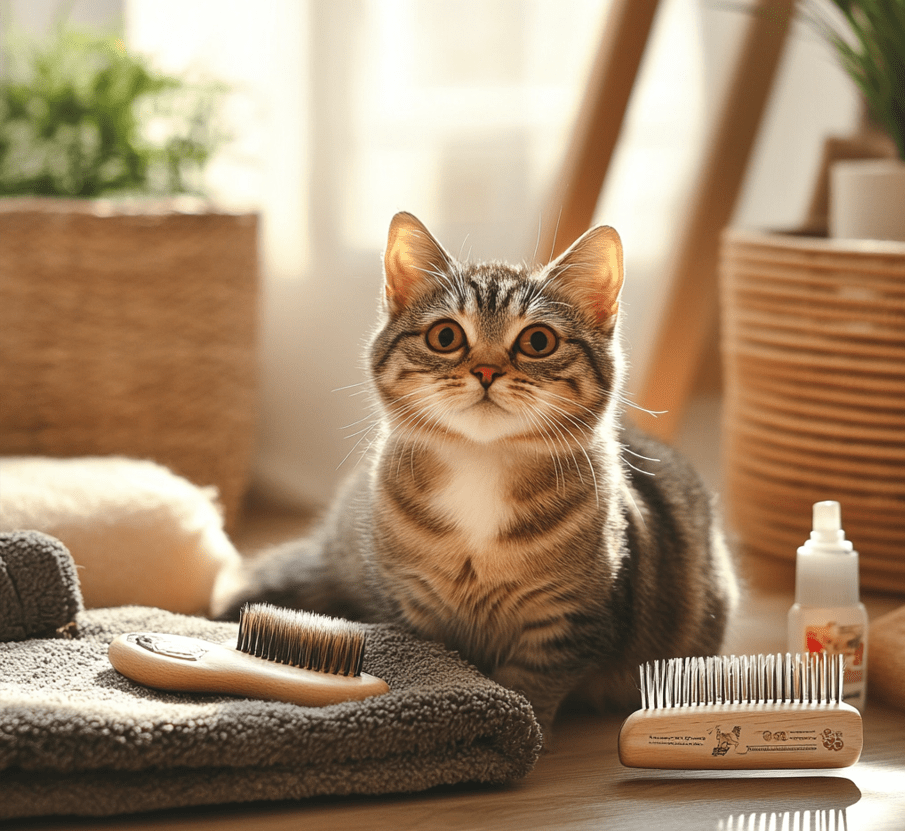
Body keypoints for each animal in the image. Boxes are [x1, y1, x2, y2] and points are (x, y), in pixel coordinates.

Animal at [215, 211, 740, 736]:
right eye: (445, 336)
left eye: (538, 341)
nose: (486, 371)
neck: (481, 467)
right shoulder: (412, 607)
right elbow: (437, 660)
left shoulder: (568, 621)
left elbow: (531, 685)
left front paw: (522, 729)